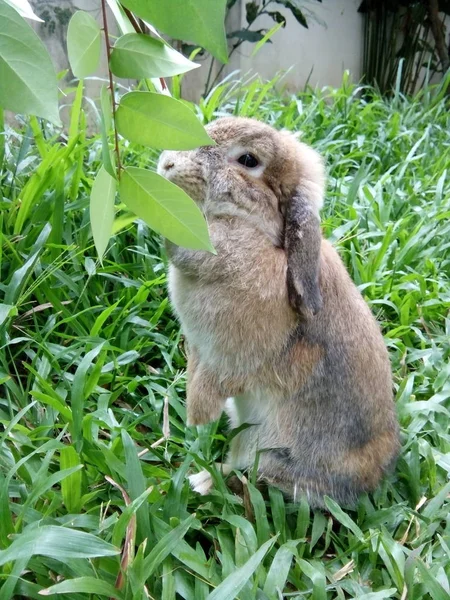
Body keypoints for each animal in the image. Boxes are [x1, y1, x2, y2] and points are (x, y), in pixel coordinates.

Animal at [156, 116, 400, 506]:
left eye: (249, 160)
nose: (167, 163)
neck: (257, 231)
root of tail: (373, 480)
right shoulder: (199, 350)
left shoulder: (226, 358)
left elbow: (211, 385)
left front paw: (196, 417)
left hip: (272, 450)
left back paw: (201, 482)